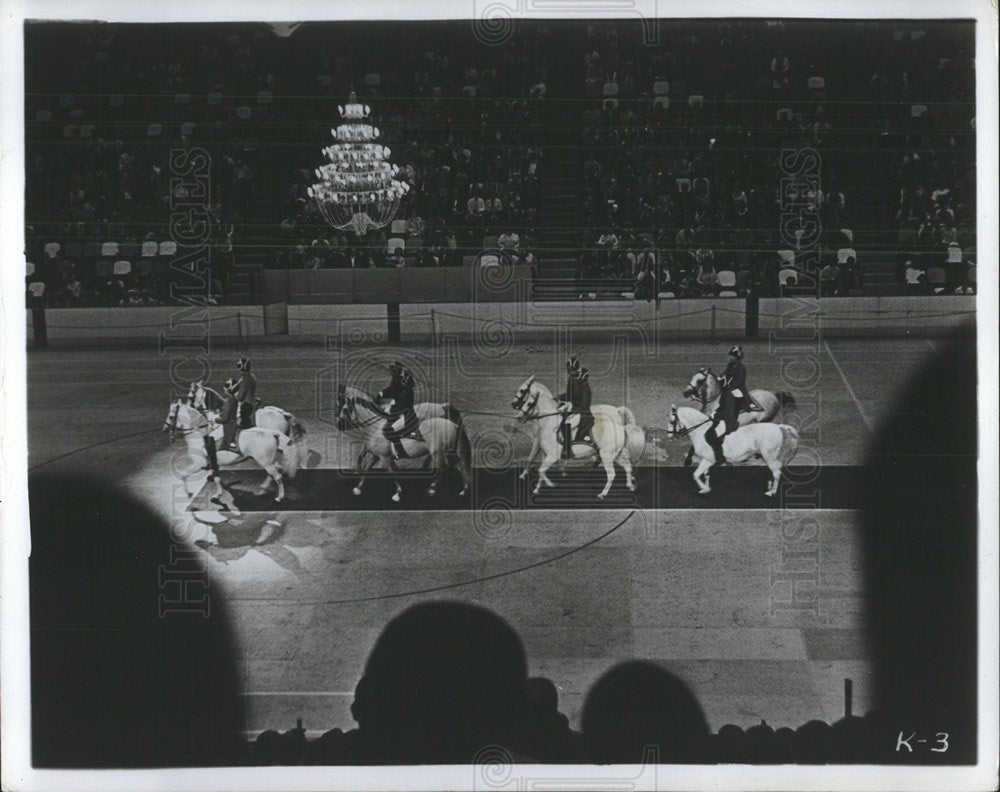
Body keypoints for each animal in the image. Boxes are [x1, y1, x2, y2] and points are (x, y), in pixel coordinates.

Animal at [162, 396, 296, 502]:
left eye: (171, 416)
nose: (164, 430)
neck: (200, 436)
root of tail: (271, 432)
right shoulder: (213, 464)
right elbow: (217, 478)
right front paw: (218, 494)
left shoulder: (199, 464)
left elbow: (183, 475)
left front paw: (189, 493)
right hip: (268, 461)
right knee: (278, 469)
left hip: (266, 462)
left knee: (277, 476)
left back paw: (278, 496)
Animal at [334, 384, 470, 502]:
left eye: (344, 408)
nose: (339, 425)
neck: (376, 427)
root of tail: (453, 424)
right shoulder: (376, 455)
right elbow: (366, 467)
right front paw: (357, 488)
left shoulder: (385, 457)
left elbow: (392, 472)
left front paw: (398, 494)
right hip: (448, 452)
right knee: (459, 465)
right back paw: (463, 491)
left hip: (438, 453)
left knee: (444, 468)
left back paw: (432, 488)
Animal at [512, 376, 644, 498]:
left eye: (529, 402)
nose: (518, 416)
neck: (549, 423)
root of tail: (620, 427)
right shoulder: (546, 453)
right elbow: (540, 469)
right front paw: (537, 488)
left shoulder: (550, 454)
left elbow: (539, 468)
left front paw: (549, 484)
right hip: (617, 455)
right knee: (627, 467)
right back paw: (630, 485)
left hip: (607, 455)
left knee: (612, 474)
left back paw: (602, 493)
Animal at [668, 406, 800, 498]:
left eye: (671, 421)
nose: (669, 436)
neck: (702, 432)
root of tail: (777, 427)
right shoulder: (707, 460)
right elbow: (705, 474)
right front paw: (705, 489)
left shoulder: (708, 460)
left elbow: (695, 475)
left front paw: (705, 489)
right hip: (766, 457)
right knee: (775, 470)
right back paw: (770, 486)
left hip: (769, 456)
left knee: (776, 472)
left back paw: (771, 492)